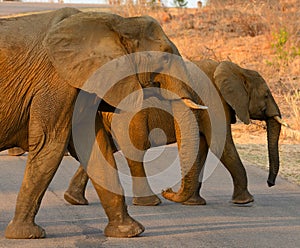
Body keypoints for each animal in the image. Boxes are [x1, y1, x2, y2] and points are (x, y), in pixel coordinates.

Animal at [0, 8, 204, 239]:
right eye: (164, 55)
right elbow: (50, 143)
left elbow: (95, 146)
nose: (167, 190)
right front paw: (26, 234)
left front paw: (129, 231)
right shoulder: (56, 82)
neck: (116, 23)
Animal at [62, 59, 284, 206]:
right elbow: (220, 144)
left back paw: (74, 200)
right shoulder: (213, 101)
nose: (270, 183)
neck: (235, 69)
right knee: (135, 150)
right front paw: (245, 201)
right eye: (266, 95)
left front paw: (194, 203)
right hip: (129, 115)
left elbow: (202, 146)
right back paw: (151, 203)